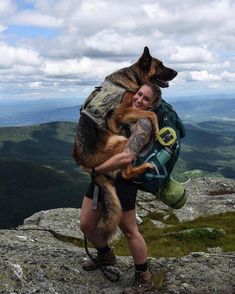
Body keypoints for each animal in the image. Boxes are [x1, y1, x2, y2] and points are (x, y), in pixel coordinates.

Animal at [73, 47, 176, 240]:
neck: (133, 77)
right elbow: (150, 114)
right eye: (160, 65)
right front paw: (156, 129)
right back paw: (145, 166)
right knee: (126, 173)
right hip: (122, 142)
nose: (176, 72)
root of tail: (88, 167)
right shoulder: (121, 113)